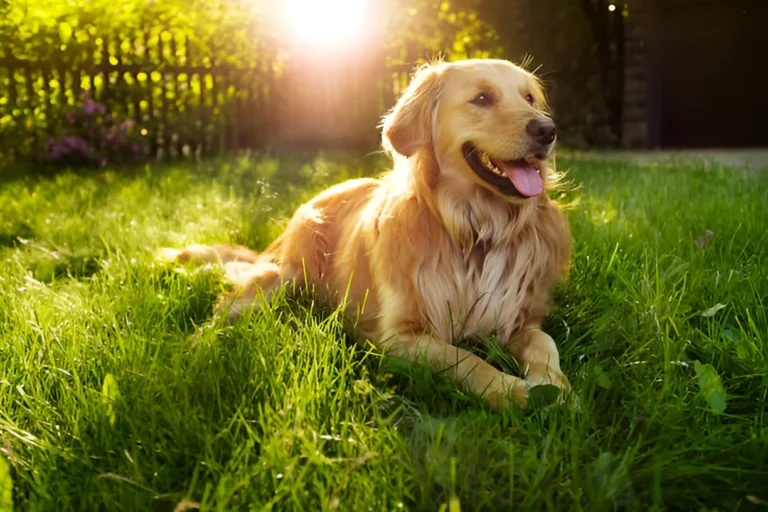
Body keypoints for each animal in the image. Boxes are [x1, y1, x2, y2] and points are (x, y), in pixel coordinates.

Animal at [164, 59, 568, 408]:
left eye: (529, 98)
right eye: (482, 99)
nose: (548, 130)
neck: (475, 230)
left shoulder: (519, 317)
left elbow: (544, 342)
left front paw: (554, 385)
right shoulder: (399, 336)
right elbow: (465, 358)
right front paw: (510, 390)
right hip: (282, 276)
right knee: (222, 310)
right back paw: (198, 348)